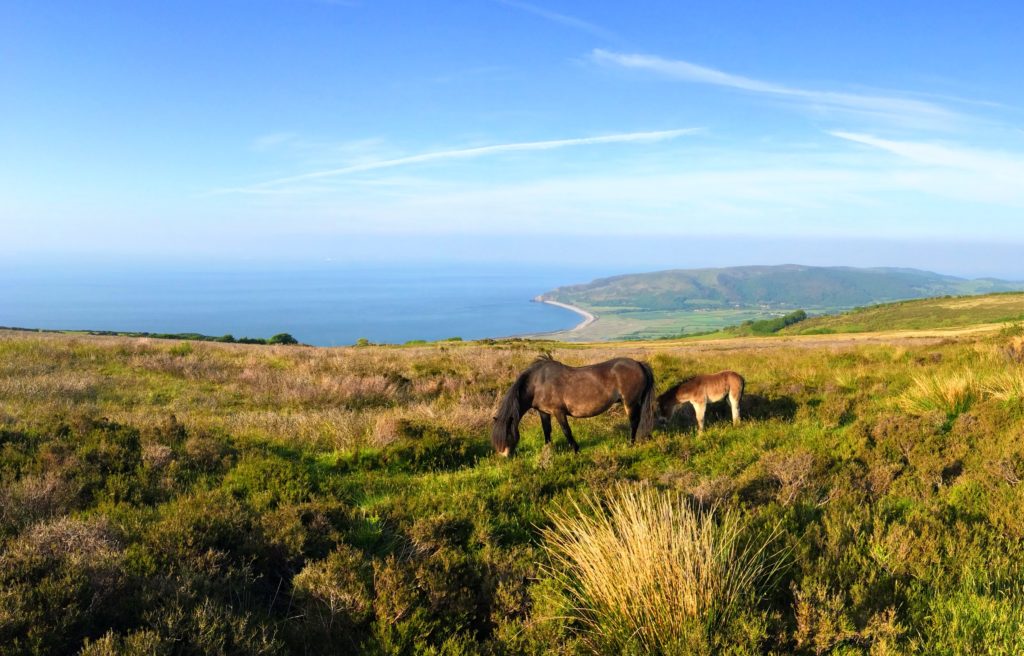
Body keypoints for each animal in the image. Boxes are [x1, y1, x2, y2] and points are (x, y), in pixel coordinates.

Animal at [493, 352, 655, 454]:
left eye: (507, 433)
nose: (504, 455)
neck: (538, 383)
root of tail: (638, 364)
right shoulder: (544, 412)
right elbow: (547, 430)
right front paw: (548, 450)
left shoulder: (558, 412)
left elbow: (566, 431)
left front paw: (576, 450)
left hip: (630, 403)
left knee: (634, 422)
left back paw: (631, 443)